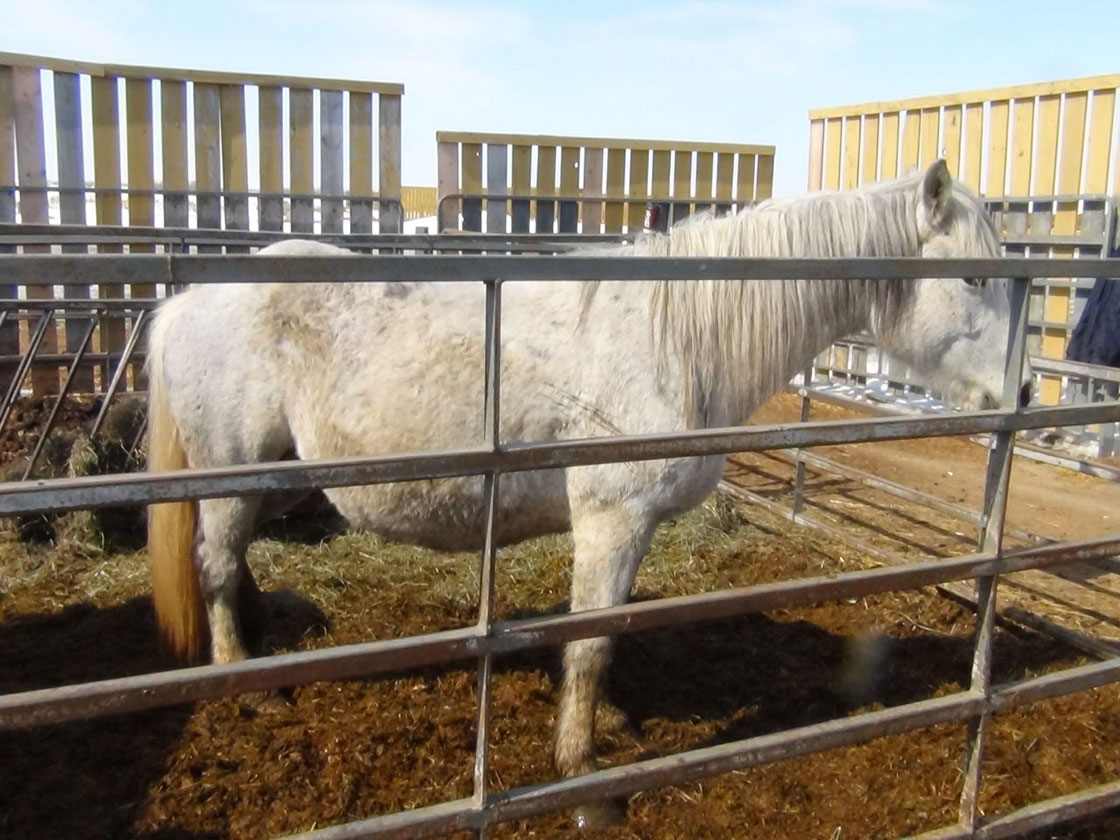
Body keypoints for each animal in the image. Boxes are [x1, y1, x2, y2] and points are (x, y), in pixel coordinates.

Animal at [146, 159, 1028, 826]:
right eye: (973, 276)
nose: (1019, 392)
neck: (677, 335)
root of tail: (184, 299)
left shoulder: (632, 531)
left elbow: (607, 634)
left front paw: (605, 724)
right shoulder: (611, 520)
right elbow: (591, 642)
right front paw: (584, 778)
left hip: (276, 477)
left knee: (231, 562)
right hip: (233, 471)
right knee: (216, 564)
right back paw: (246, 687)